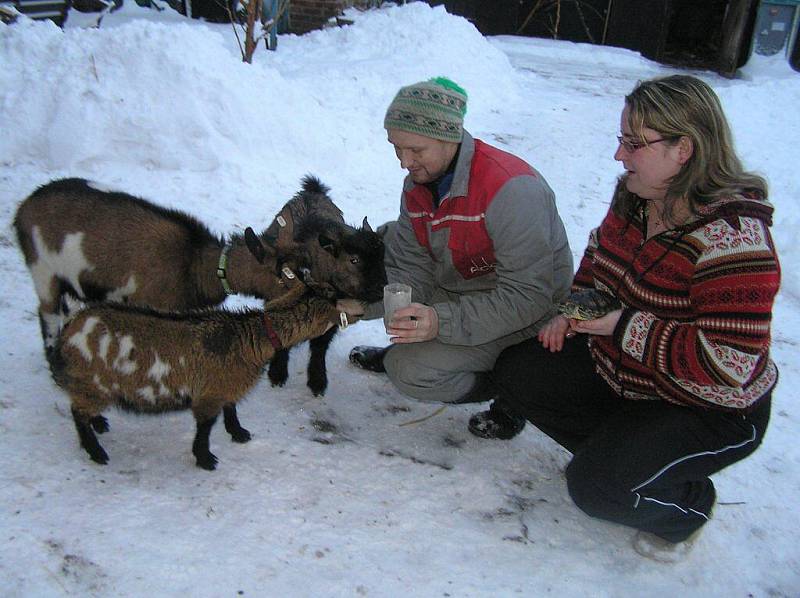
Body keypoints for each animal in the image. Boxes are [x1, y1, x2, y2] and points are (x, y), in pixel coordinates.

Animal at [47, 290, 340, 468]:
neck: (247, 338)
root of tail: (69, 331)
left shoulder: (225, 386)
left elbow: (231, 409)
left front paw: (239, 433)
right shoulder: (209, 393)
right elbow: (206, 426)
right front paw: (205, 459)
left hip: (93, 386)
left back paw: (99, 424)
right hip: (93, 382)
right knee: (77, 413)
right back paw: (96, 452)